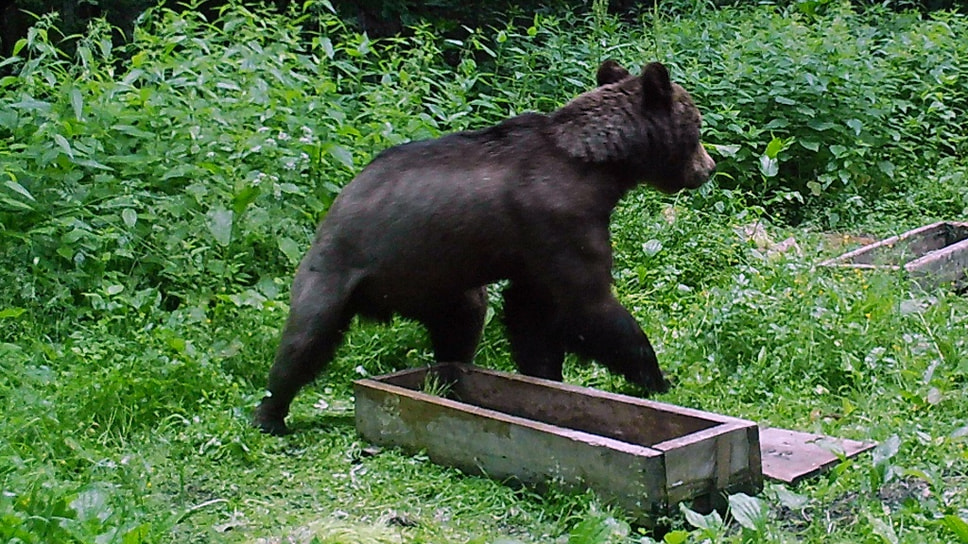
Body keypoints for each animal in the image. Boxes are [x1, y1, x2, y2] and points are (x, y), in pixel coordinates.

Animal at [253, 60, 716, 434]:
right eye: (696, 127)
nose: (708, 168)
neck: (599, 170)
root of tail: (337, 203)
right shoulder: (559, 220)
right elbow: (588, 305)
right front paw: (657, 374)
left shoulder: (532, 251)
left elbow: (531, 314)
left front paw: (544, 375)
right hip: (343, 269)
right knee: (305, 338)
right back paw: (271, 413)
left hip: (437, 281)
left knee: (463, 319)